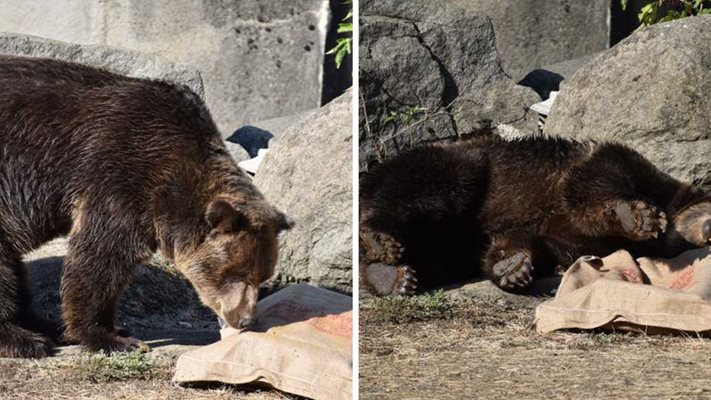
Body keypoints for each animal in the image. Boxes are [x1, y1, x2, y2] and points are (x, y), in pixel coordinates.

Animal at [0, 54, 292, 358]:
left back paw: (42, 325)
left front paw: (114, 330)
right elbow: (102, 256)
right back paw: (25, 340)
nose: (245, 319)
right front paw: (110, 337)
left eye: (263, 276)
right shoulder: (119, 175)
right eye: (235, 273)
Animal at [362, 136, 711, 296]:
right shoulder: (617, 164)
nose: (707, 230)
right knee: (427, 190)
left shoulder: (569, 235)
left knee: (435, 255)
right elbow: (592, 180)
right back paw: (384, 245)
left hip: (448, 246)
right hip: (465, 165)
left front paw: (512, 267)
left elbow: (534, 241)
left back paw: (393, 276)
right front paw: (639, 217)